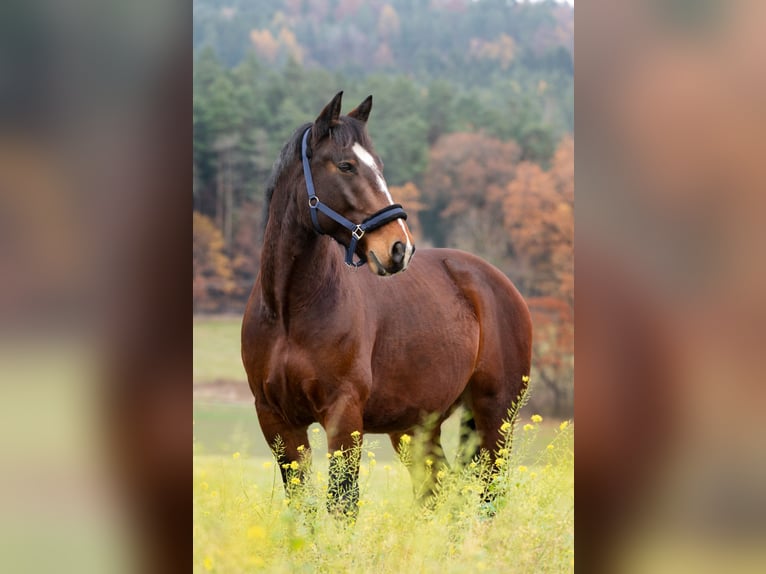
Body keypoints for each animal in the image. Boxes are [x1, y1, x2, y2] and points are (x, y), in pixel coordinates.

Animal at [243, 92, 532, 520]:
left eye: (378, 166)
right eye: (346, 165)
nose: (399, 248)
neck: (288, 311)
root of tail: (497, 283)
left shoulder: (344, 416)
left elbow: (342, 504)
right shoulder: (276, 420)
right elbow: (304, 509)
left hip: (497, 415)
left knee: (488, 496)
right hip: (417, 429)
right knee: (438, 493)